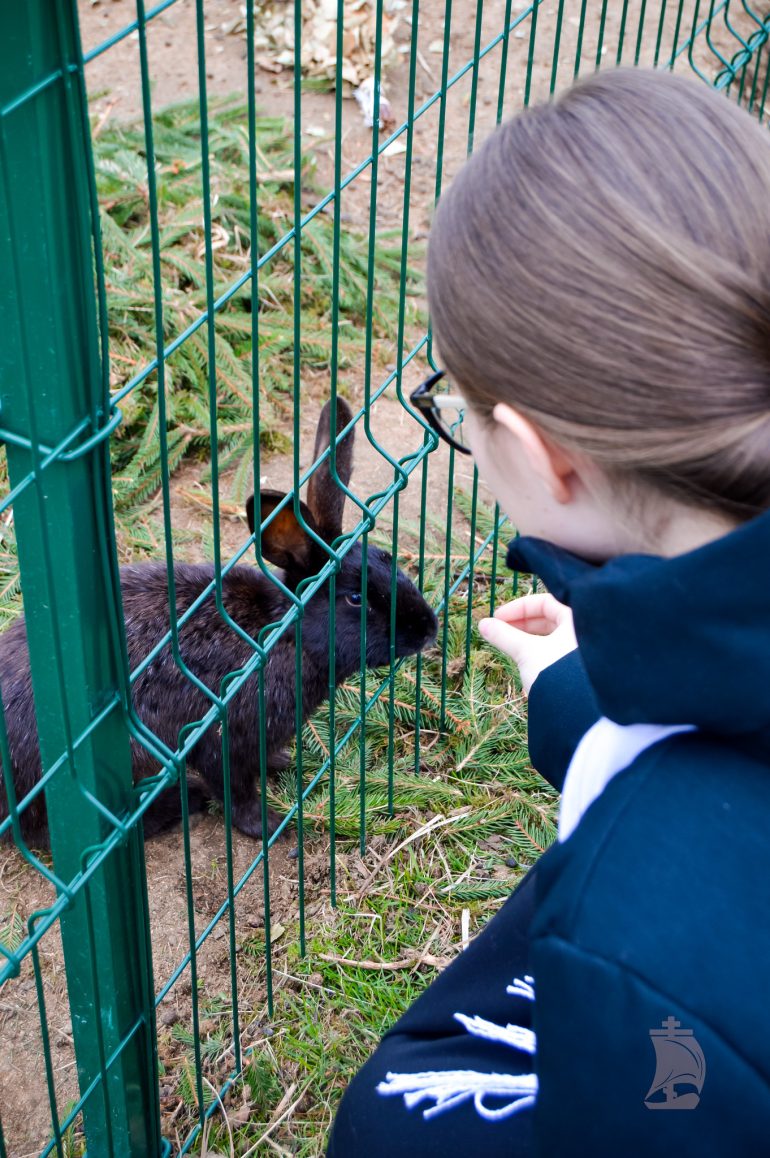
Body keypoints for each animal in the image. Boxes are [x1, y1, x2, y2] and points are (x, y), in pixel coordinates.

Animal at [0, 402, 437, 847]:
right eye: (355, 599)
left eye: (386, 557)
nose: (429, 629)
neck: (281, 636)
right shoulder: (224, 739)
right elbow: (235, 791)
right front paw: (267, 826)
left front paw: (279, 761)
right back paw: (181, 802)